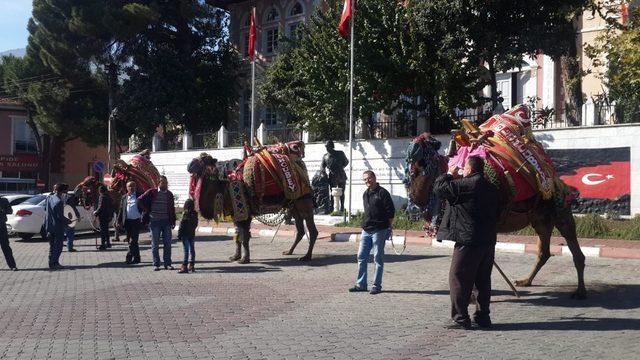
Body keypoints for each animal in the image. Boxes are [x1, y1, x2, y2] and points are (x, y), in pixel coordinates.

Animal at [189, 139, 318, 262]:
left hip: (304, 201)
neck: (224, 183)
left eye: (204, 161)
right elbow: (237, 235)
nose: (190, 165)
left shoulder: (245, 211)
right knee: (300, 230)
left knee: (312, 230)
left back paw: (307, 256)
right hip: (294, 205)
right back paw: (289, 251)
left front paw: (244, 259)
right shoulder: (235, 213)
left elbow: (244, 237)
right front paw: (235, 256)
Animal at [408, 105, 588, 300]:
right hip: (540, 219)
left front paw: (473, 296)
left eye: (422, 161)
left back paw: (580, 291)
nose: (415, 196)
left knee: (574, 248)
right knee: (544, 252)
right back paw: (525, 281)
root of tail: (556, 179)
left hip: (560, 211)